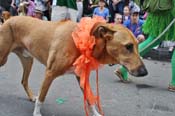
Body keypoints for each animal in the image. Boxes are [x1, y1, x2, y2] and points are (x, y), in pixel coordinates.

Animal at [0, 15, 148, 115]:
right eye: (128, 46)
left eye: (137, 44)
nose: (144, 72)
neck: (86, 41)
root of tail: (8, 19)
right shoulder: (49, 73)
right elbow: (42, 97)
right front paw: (36, 113)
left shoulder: (82, 77)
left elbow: (90, 99)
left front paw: (96, 113)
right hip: (3, 59)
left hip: (28, 60)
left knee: (24, 81)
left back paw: (31, 97)